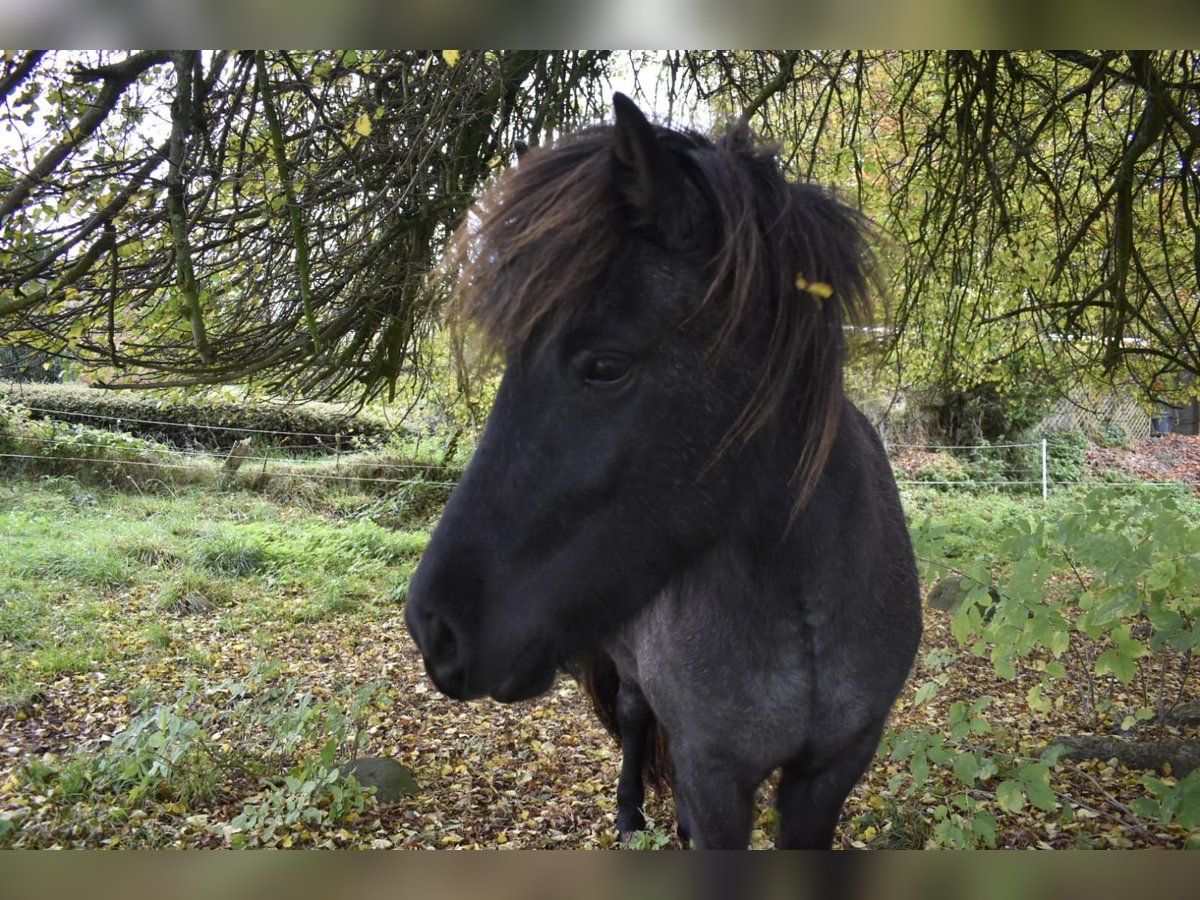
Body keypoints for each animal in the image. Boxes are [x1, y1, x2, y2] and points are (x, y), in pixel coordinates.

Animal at [408, 95, 921, 849]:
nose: (433, 627)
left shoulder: (833, 767)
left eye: (605, 365)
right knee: (632, 718)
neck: (800, 602)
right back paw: (631, 815)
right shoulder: (715, 773)